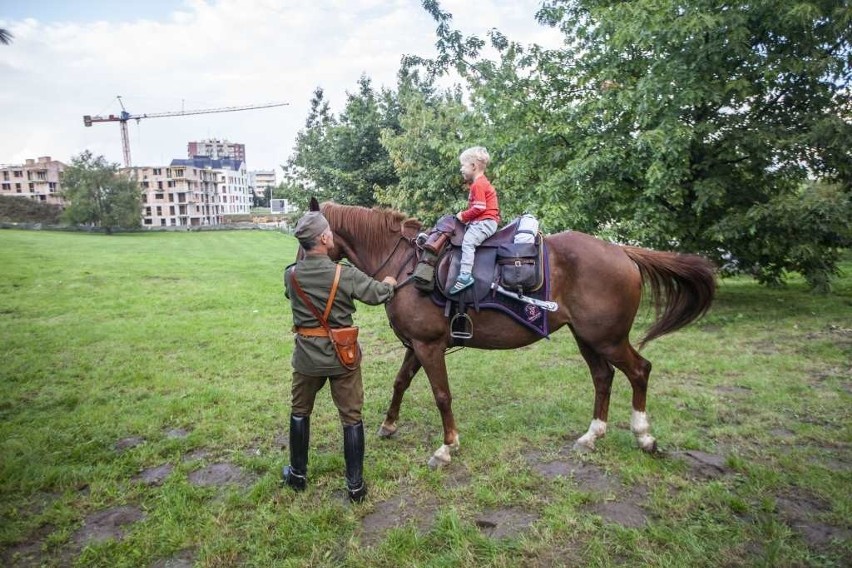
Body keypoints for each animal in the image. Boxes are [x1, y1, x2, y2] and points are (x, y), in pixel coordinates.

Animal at [316, 202, 716, 468]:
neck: (408, 264)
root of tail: (621, 251)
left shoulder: (428, 346)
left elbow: (442, 396)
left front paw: (446, 447)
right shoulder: (416, 345)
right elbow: (400, 382)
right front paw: (388, 425)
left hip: (608, 338)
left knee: (639, 371)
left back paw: (644, 436)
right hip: (587, 338)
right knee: (603, 378)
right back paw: (592, 436)